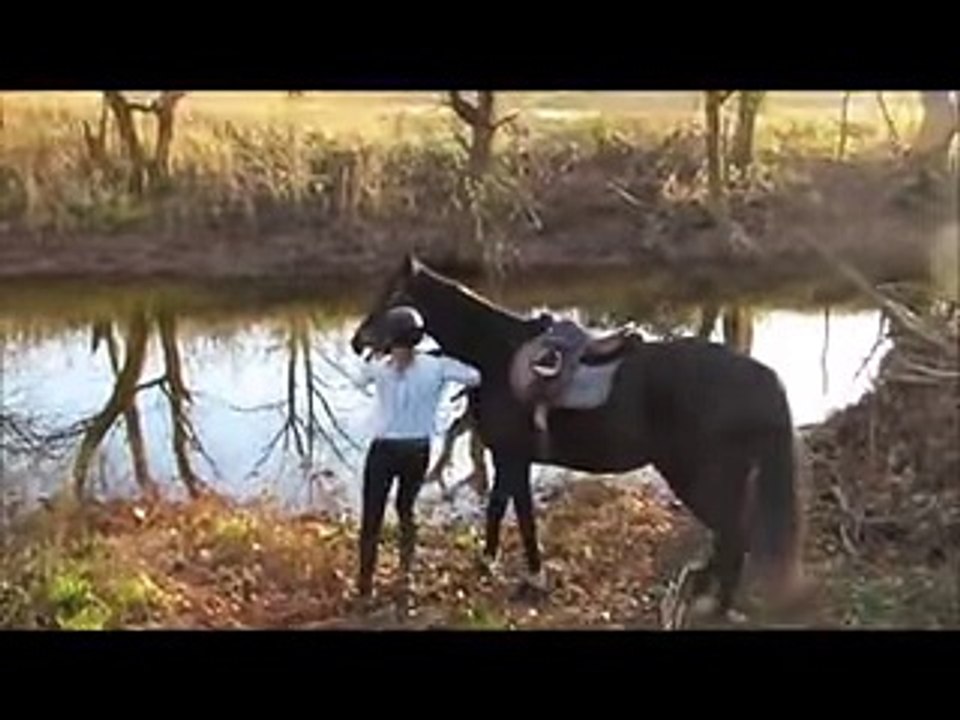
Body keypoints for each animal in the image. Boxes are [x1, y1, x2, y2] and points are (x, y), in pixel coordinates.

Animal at [350, 254, 808, 625]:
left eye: (393, 295)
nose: (357, 341)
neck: (495, 355)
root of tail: (760, 376)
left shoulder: (513, 457)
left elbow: (521, 516)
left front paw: (533, 578)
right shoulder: (507, 457)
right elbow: (499, 508)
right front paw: (489, 563)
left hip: (700, 477)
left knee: (734, 534)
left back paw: (712, 604)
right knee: (731, 536)